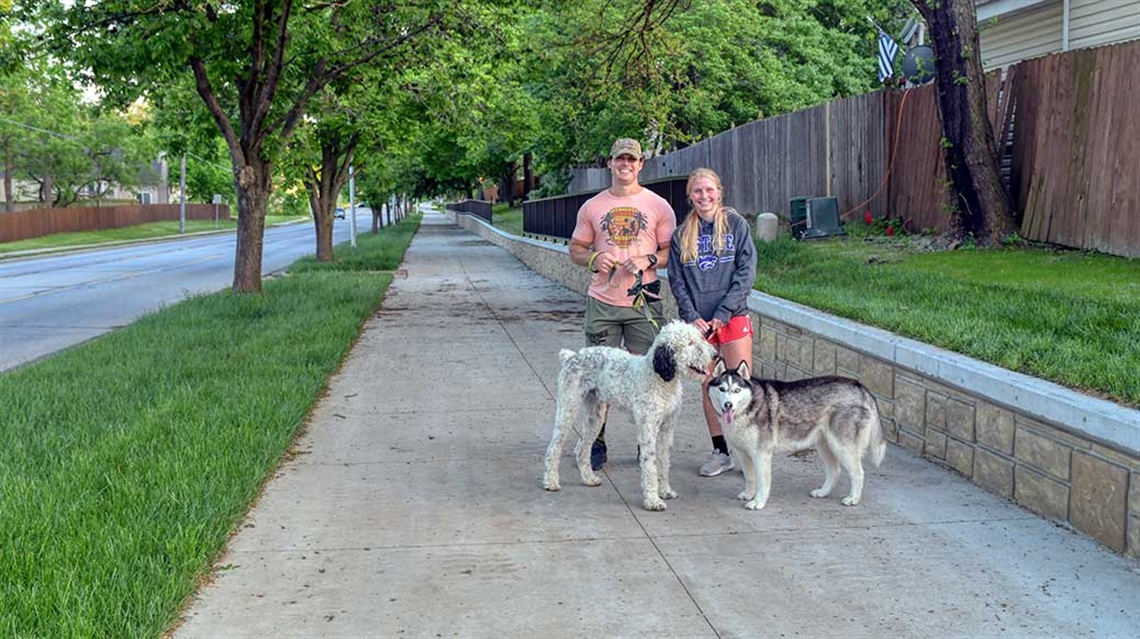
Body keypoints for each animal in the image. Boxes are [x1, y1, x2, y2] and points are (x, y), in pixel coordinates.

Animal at [540, 321, 711, 510]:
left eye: (699, 337)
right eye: (689, 343)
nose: (715, 354)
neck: (659, 378)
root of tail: (571, 356)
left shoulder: (666, 430)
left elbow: (663, 462)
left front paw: (665, 491)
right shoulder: (648, 430)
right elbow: (650, 465)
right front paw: (653, 500)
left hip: (595, 418)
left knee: (581, 448)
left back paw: (588, 478)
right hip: (568, 410)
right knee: (554, 448)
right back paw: (551, 482)